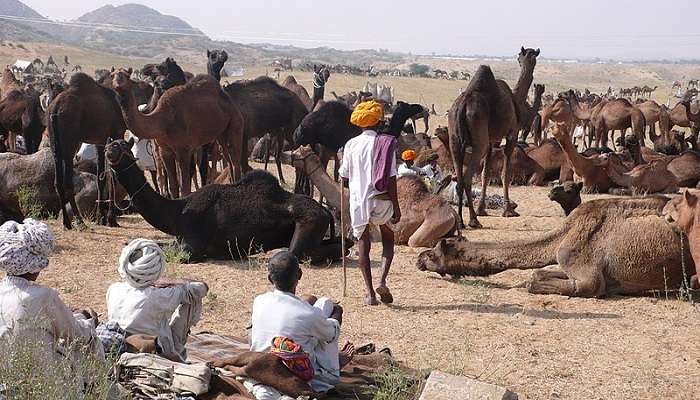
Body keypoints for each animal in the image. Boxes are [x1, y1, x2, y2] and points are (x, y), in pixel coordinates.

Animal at [49, 72, 126, 228]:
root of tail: (55, 109)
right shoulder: (116, 133)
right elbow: (112, 176)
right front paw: (111, 219)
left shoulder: (100, 142)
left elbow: (101, 178)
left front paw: (100, 218)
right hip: (70, 143)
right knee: (68, 182)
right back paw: (79, 221)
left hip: (55, 145)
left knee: (58, 182)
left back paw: (67, 222)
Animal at [110, 71, 245, 198]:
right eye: (112, 75)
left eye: (126, 76)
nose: (118, 85)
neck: (162, 120)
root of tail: (227, 98)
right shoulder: (165, 150)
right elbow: (173, 186)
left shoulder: (183, 149)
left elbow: (184, 186)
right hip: (221, 133)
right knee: (227, 156)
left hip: (235, 122)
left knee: (234, 159)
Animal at [292, 145, 460, 248]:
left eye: (298, 152)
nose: (287, 155)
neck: (346, 200)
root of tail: (453, 213)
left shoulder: (373, 233)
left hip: (433, 224)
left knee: (417, 240)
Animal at [448, 47, 540, 228]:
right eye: (530, 58)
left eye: (521, 58)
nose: (529, 62)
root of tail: (462, 105)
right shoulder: (512, 134)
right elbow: (506, 172)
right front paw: (508, 211)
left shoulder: (492, 140)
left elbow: (486, 173)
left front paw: (482, 209)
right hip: (479, 139)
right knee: (467, 177)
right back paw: (473, 220)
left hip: (454, 139)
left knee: (459, 177)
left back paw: (461, 220)